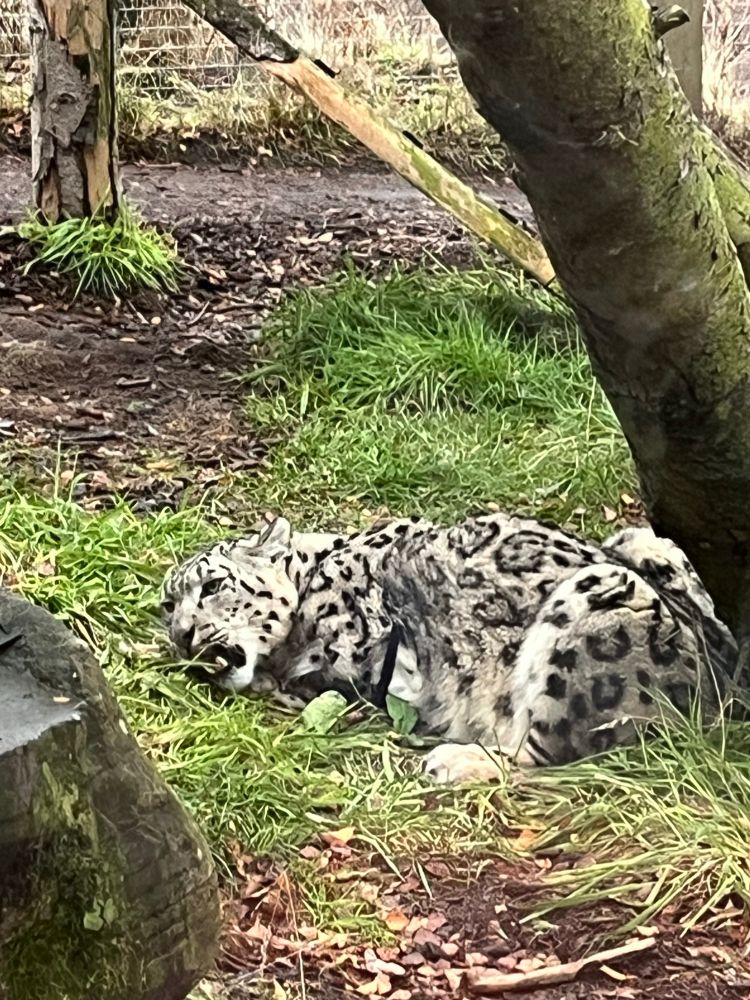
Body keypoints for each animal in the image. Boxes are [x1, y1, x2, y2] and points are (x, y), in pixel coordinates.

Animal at [160, 511, 740, 784]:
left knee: (552, 753)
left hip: (595, 604)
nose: (183, 636)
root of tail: (726, 691)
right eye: (168, 605)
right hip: (643, 541)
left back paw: (455, 760)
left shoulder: (365, 654)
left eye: (213, 585)